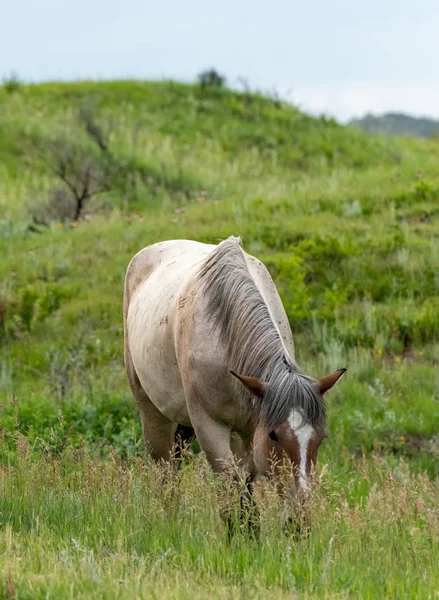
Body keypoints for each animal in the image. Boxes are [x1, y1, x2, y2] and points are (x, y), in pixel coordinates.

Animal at [124, 237, 348, 532]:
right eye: (274, 435)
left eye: (320, 438)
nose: (299, 523)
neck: (224, 337)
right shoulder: (210, 428)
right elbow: (235, 499)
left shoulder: (250, 430)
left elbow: (246, 494)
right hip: (151, 411)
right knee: (166, 472)